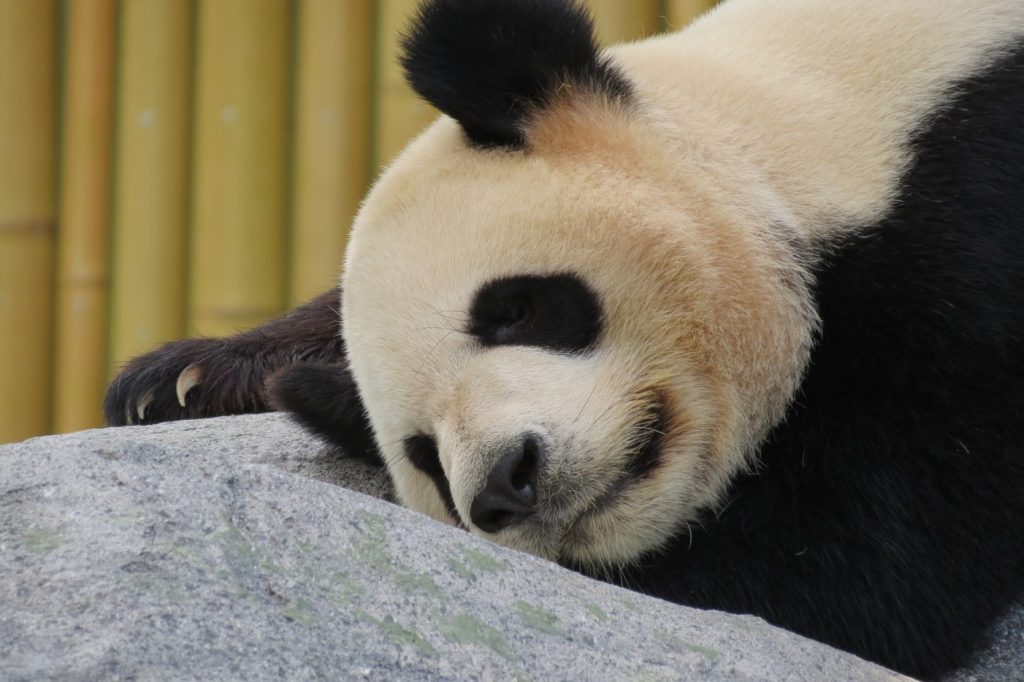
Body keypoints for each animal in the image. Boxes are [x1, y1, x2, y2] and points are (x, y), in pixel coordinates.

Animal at [104, 0, 1024, 677]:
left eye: (514, 307)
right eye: (423, 454)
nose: (508, 483)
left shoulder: (961, 224)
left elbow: (867, 563)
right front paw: (184, 378)